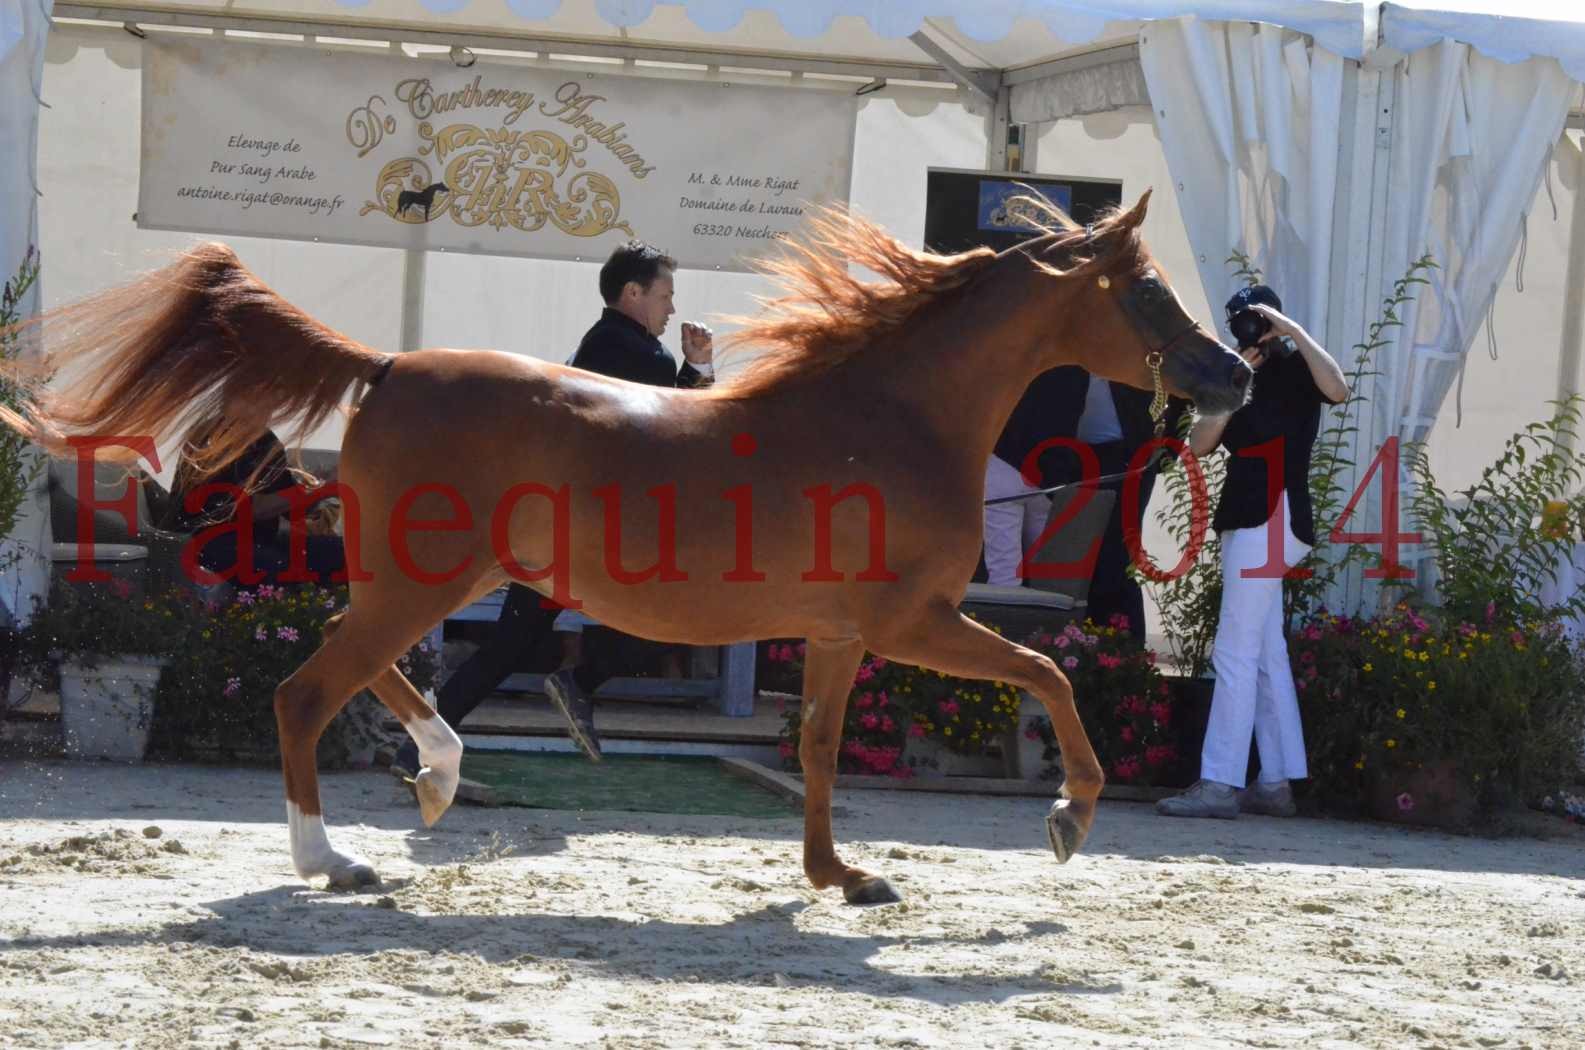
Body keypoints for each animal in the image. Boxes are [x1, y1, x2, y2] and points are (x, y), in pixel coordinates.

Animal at [6, 195, 1255, 907]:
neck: (892, 415)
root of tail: (390, 367)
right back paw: (336, 861)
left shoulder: (840, 635)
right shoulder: (914, 622)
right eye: (1146, 292)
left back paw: (438, 777)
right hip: (422, 581)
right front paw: (1068, 820)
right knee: (307, 691)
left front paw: (840, 879)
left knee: (366, 669)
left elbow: (816, 751)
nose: (1235, 376)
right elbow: (1047, 673)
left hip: (424, 580)